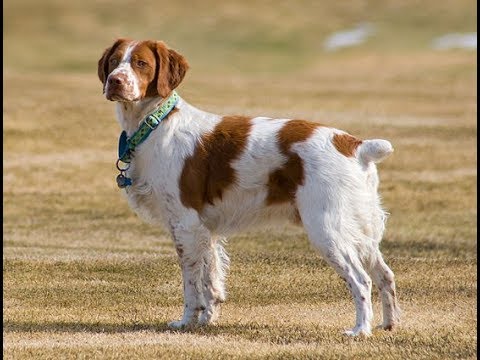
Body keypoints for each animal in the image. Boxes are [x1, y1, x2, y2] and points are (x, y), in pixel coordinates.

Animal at [96, 38, 398, 336]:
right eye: (114, 61)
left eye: (141, 63)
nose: (114, 81)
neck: (156, 124)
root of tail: (356, 145)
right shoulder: (206, 230)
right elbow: (211, 280)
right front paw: (207, 320)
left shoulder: (185, 224)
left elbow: (192, 285)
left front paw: (186, 322)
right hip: (360, 229)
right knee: (385, 275)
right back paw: (388, 324)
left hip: (327, 229)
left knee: (361, 280)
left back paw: (360, 329)